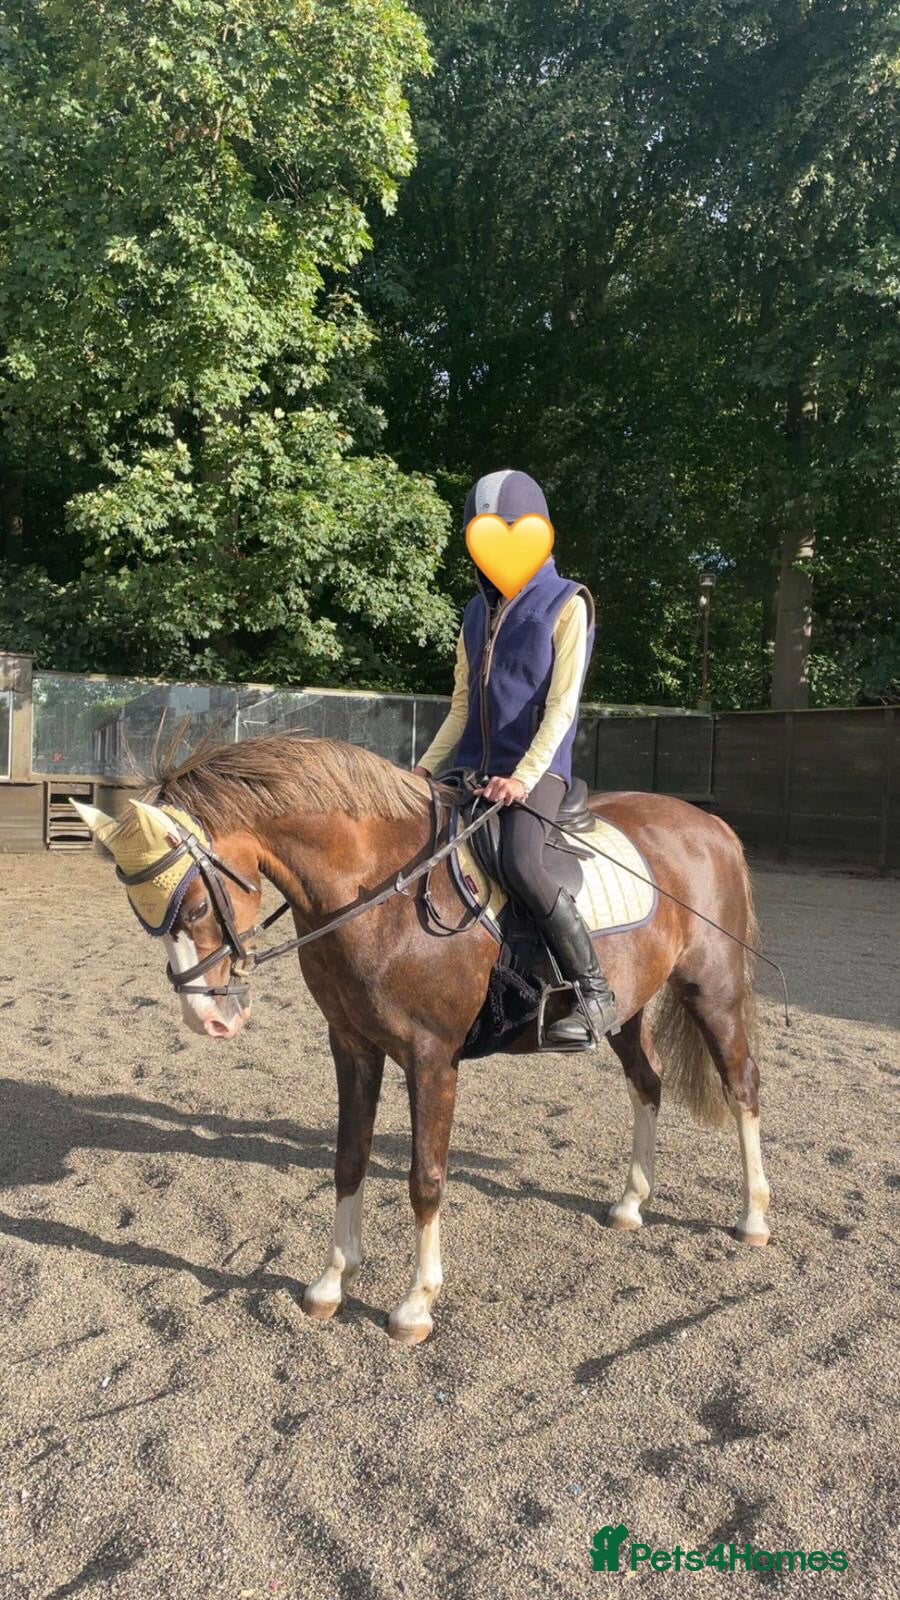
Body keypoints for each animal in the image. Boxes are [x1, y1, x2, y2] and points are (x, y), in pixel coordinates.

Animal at [74, 734, 771, 1345]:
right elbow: (348, 1158)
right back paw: (630, 1204)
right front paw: (331, 1284)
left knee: (741, 1087)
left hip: (712, 991)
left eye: (194, 908)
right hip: (628, 1008)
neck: (379, 888)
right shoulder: (352, 1046)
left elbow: (426, 1177)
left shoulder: (432, 1058)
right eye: (143, 917)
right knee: (647, 1083)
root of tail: (710, 826)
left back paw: (754, 1218)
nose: (207, 1020)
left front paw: (414, 1306)